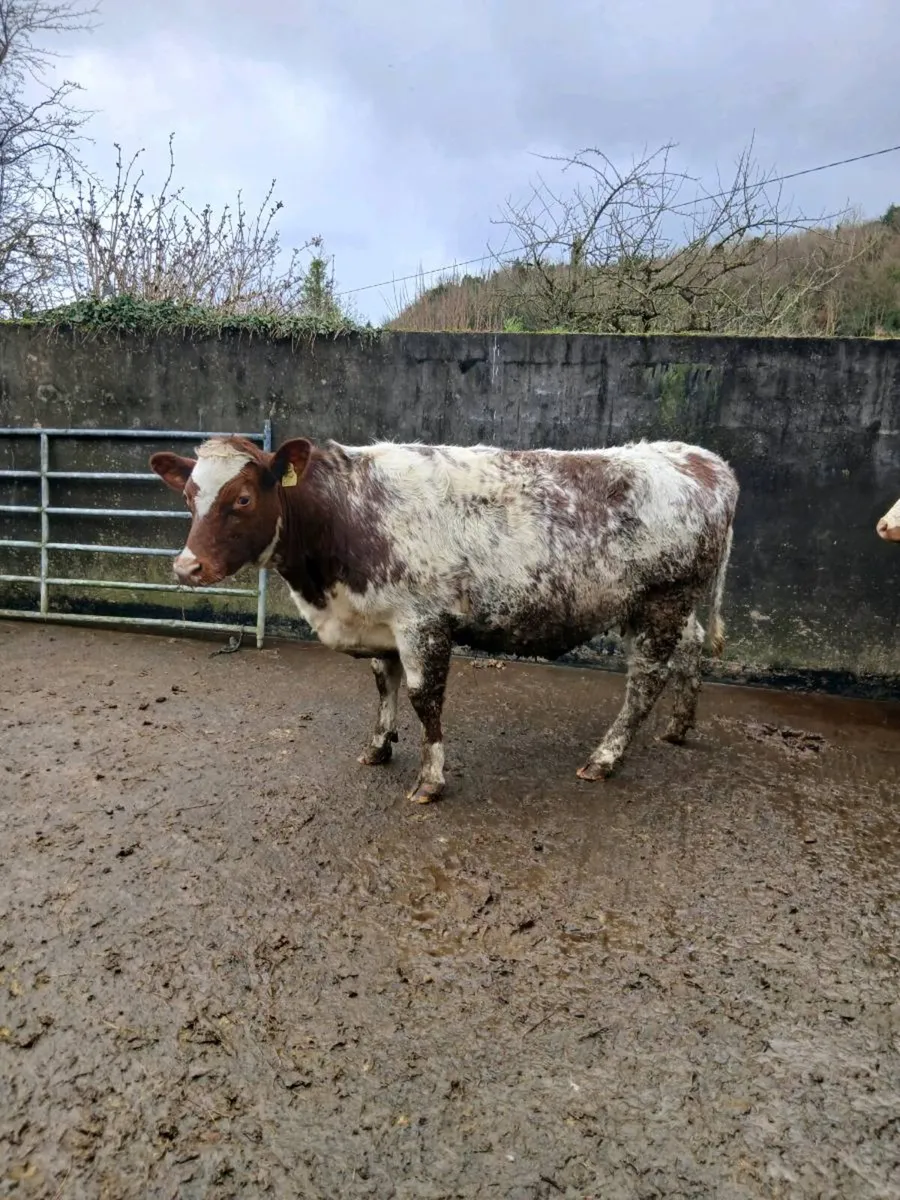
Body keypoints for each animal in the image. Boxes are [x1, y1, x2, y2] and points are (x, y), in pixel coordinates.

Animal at [149, 435, 739, 803]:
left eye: (243, 498)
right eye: (189, 496)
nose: (186, 566)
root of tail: (702, 459)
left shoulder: (422, 622)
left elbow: (423, 699)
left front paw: (430, 780)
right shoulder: (380, 622)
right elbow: (383, 687)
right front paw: (377, 748)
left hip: (663, 599)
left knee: (645, 680)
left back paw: (605, 758)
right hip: (659, 604)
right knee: (689, 650)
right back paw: (679, 728)